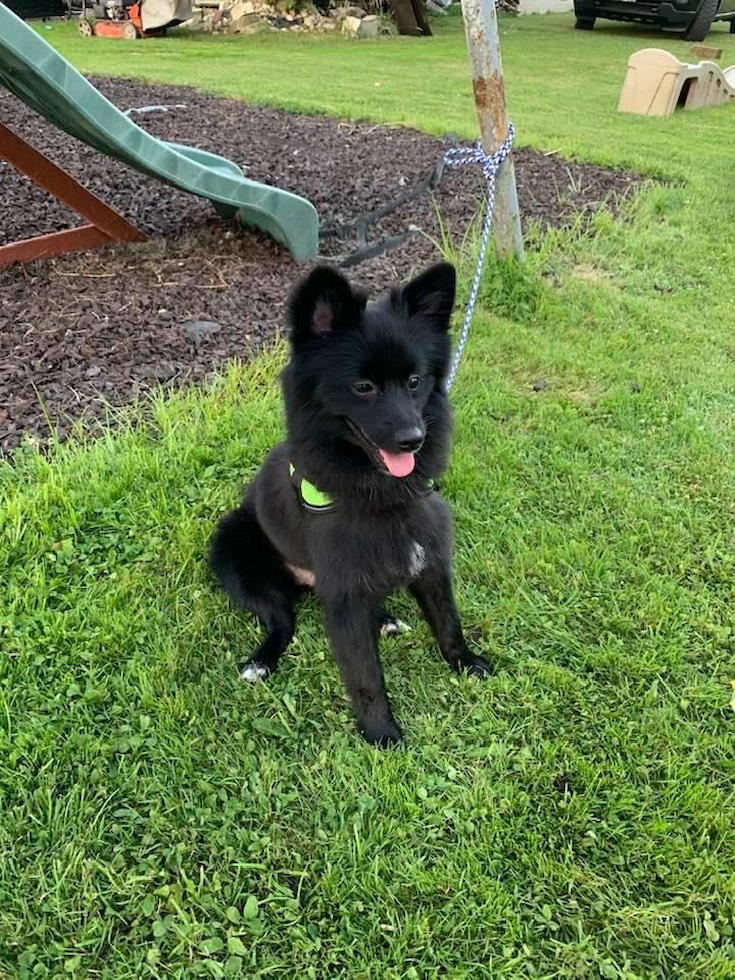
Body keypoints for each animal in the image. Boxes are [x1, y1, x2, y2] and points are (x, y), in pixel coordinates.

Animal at [210, 260, 492, 744]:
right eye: (363, 386)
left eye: (415, 381)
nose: (413, 439)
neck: (381, 496)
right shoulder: (344, 597)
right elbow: (364, 675)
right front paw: (381, 732)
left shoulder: (429, 563)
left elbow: (448, 623)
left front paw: (464, 663)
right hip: (239, 558)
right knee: (282, 621)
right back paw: (261, 661)